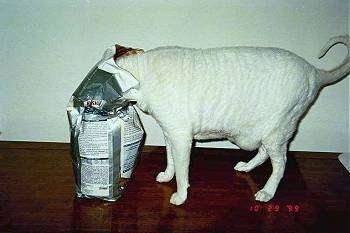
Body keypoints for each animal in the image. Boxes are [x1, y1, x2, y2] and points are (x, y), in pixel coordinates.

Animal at [114, 34, 348, 204]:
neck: (142, 72)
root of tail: (314, 71)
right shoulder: (169, 132)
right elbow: (170, 159)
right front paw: (166, 175)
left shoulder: (181, 137)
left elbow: (182, 171)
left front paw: (181, 196)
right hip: (267, 133)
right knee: (265, 153)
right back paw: (246, 167)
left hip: (277, 130)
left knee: (281, 163)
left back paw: (267, 192)